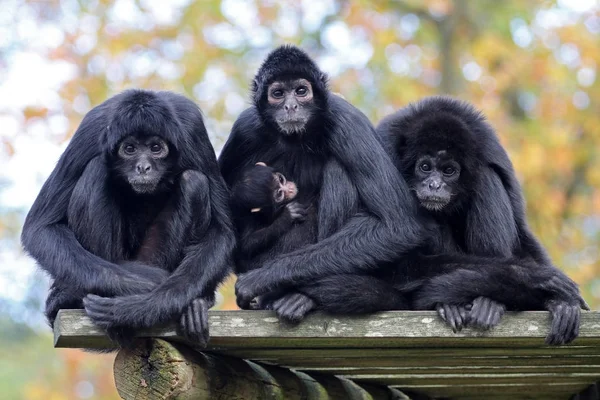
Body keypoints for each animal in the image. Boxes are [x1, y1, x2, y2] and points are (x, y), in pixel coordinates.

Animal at [20, 90, 234, 346]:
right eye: (129, 149)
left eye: (155, 148)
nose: (143, 167)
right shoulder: (91, 131)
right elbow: (41, 228)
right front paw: (146, 287)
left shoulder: (192, 129)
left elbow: (222, 232)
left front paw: (138, 307)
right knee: (96, 168)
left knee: (194, 181)